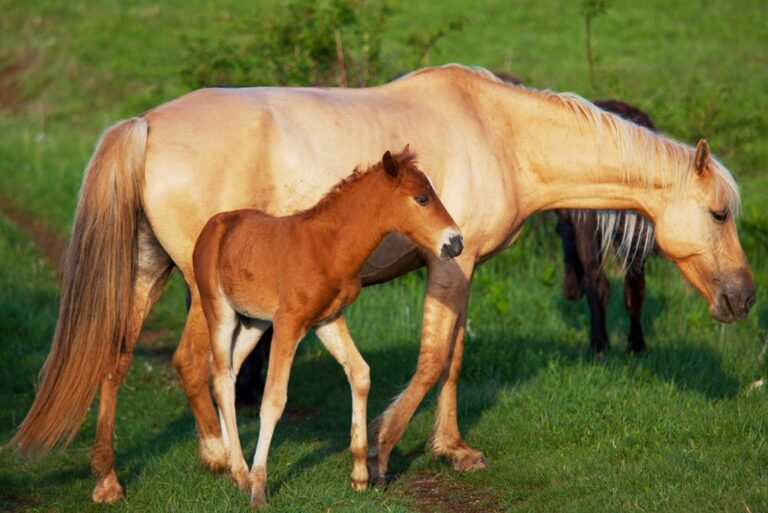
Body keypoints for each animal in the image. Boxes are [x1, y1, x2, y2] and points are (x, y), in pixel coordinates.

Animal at [194, 148, 462, 506]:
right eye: (421, 198)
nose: (456, 243)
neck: (328, 247)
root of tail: (212, 226)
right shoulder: (289, 323)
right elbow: (274, 400)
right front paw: (260, 488)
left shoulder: (328, 320)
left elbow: (360, 374)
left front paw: (360, 475)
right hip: (220, 312)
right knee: (223, 379)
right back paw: (240, 473)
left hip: (254, 322)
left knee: (226, 372)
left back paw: (231, 465)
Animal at [555, 99, 658, 356]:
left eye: (559, 231)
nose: (569, 291)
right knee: (635, 285)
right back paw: (636, 345)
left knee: (598, 282)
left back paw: (599, 344)